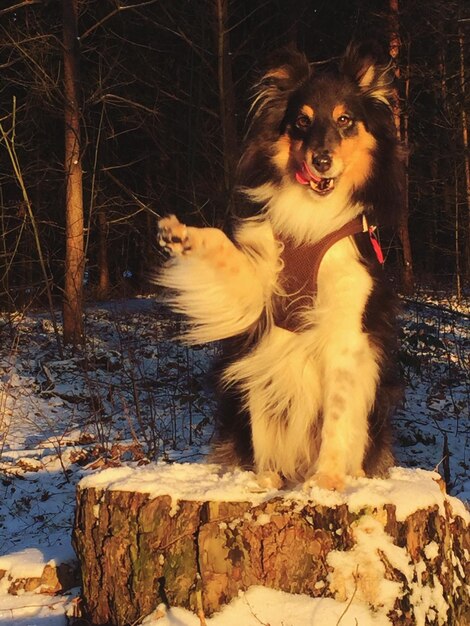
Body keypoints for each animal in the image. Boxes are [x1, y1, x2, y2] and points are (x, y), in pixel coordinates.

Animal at [156, 45, 402, 492]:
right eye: (301, 121)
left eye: (345, 119)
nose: (321, 161)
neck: (312, 218)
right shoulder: (258, 292)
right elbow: (223, 248)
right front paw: (180, 235)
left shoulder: (346, 330)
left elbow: (336, 417)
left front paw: (328, 481)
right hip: (251, 382)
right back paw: (265, 479)